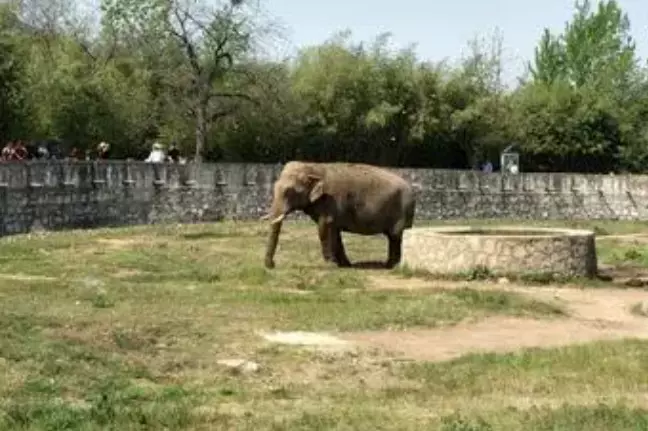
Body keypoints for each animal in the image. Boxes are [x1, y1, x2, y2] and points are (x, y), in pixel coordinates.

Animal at [262, 162, 416, 270]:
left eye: (289, 192)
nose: (272, 265)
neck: (313, 167)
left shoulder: (330, 201)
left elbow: (324, 228)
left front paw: (330, 265)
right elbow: (334, 232)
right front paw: (345, 265)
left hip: (402, 211)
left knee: (395, 236)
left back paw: (392, 266)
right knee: (393, 237)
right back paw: (388, 265)